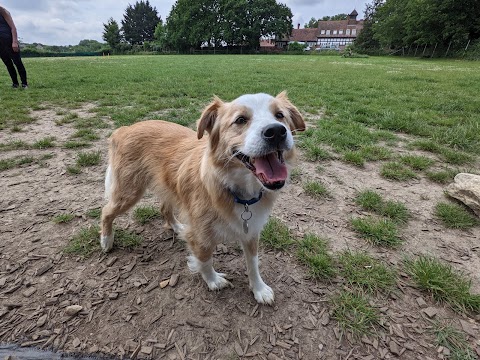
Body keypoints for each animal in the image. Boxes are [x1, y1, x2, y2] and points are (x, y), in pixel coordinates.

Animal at [99, 92, 306, 304]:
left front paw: (259, 288)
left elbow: (253, 263)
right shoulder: (200, 235)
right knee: (106, 211)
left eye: (280, 115)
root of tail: (125, 129)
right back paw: (106, 241)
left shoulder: (251, 230)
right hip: (129, 192)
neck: (233, 188)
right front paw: (213, 281)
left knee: (164, 208)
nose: (276, 131)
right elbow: (205, 259)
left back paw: (176, 227)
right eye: (240, 120)